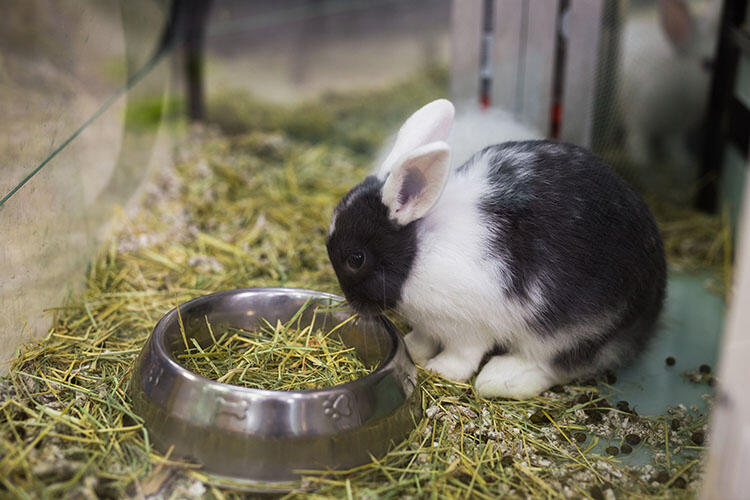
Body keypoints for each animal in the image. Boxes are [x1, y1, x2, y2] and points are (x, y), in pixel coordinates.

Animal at [326, 99, 668, 400]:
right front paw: (413, 349)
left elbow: (462, 356)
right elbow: (422, 338)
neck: (417, 252)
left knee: (553, 363)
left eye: (356, 258)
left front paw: (439, 369)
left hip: (570, 331)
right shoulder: (429, 324)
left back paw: (500, 378)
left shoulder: (468, 328)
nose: (351, 302)